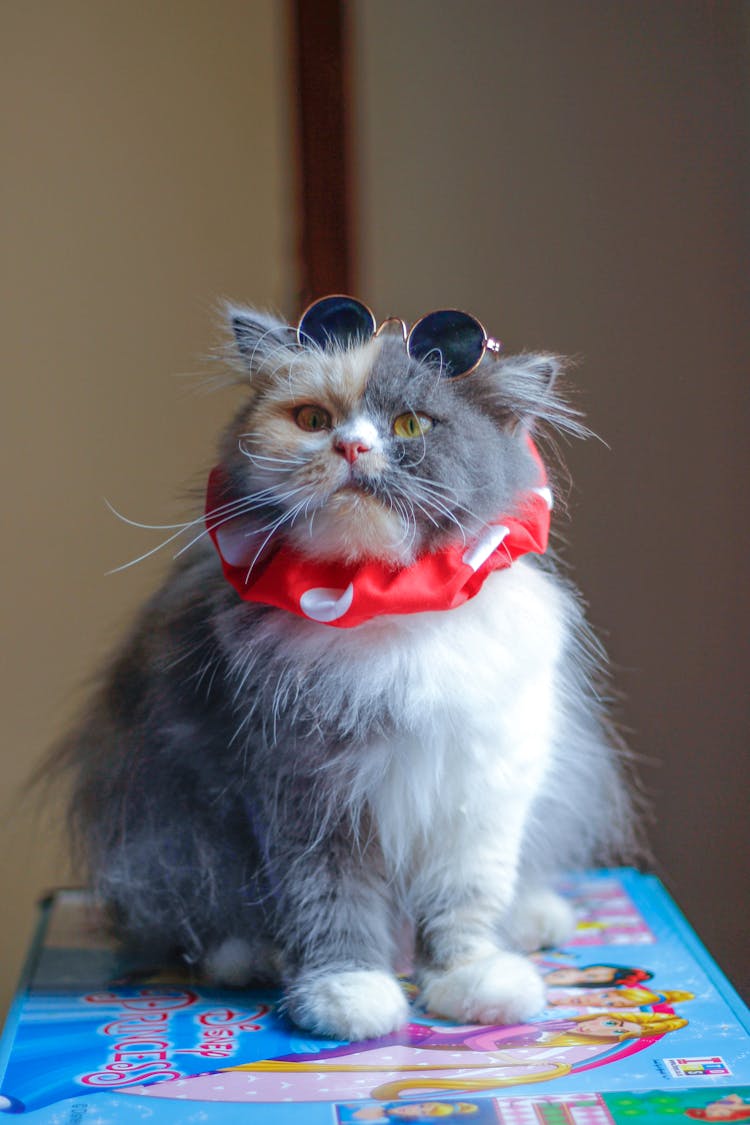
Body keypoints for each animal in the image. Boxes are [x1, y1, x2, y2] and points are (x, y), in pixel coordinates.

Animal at [49, 301, 638, 1044]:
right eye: (312, 420)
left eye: (410, 425)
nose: (351, 447)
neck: (385, 604)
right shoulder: (304, 793)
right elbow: (330, 905)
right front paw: (348, 996)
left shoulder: (479, 791)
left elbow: (465, 904)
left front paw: (475, 985)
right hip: (175, 831)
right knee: (195, 915)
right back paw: (250, 959)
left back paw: (535, 922)